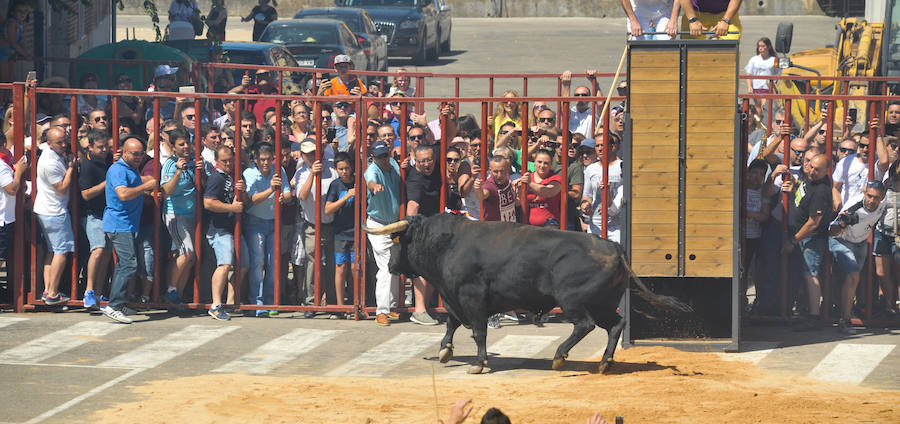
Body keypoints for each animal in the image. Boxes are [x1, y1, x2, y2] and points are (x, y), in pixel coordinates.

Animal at [362, 214, 692, 372]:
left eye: (397, 242)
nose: (390, 265)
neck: (448, 243)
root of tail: (614, 246)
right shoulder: (455, 297)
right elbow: (452, 323)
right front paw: (445, 350)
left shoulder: (472, 298)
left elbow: (478, 331)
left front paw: (479, 363)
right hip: (603, 303)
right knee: (616, 324)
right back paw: (604, 363)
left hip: (573, 301)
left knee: (584, 325)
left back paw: (560, 357)